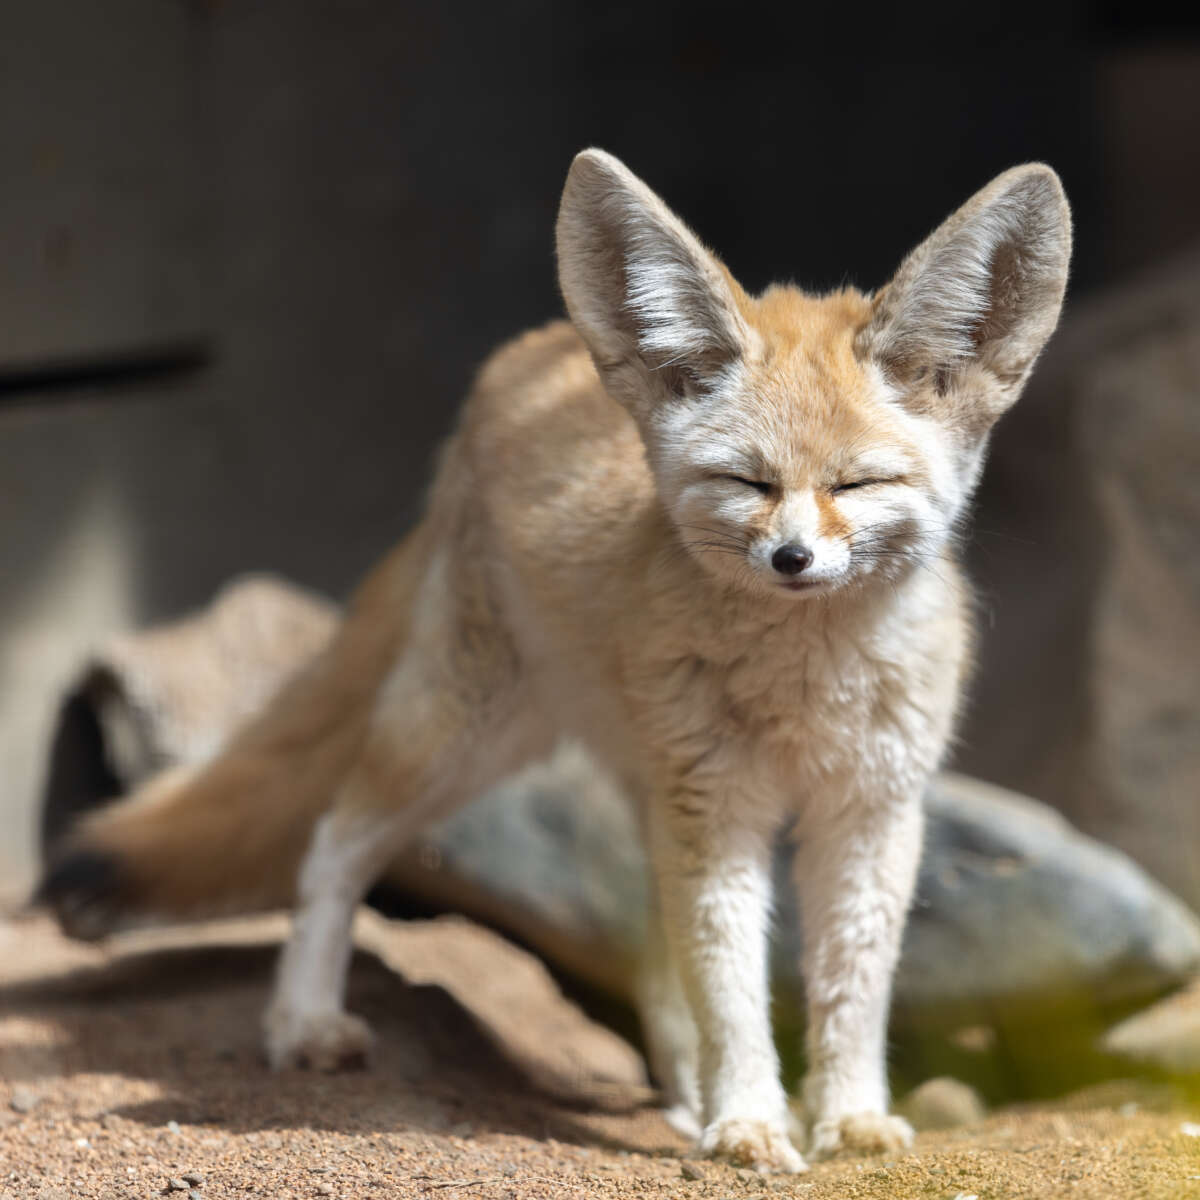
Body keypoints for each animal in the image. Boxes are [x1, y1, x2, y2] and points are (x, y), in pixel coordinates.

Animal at [38, 150, 1070, 1173]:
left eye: (858, 484)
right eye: (746, 482)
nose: (791, 559)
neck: (805, 689)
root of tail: (525, 358)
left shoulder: (870, 808)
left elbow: (847, 992)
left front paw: (847, 1119)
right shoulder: (718, 807)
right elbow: (732, 988)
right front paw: (749, 1122)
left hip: (630, 786)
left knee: (651, 960)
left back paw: (681, 1098)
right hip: (464, 743)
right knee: (334, 842)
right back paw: (304, 1022)